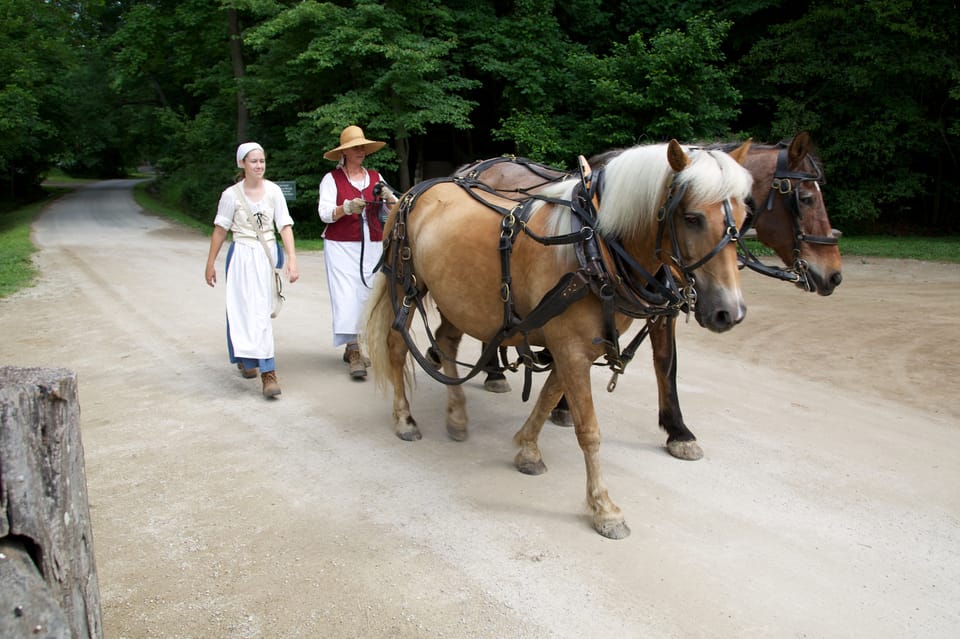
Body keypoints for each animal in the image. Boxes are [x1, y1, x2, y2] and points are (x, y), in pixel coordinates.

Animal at [364, 141, 752, 540]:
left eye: (744, 215)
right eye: (692, 218)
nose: (729, 311)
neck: (591, 248)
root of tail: (415, 190)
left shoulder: (575, 346)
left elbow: (551, 395)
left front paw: (528, 450)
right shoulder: (571, 347)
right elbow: (589, 429)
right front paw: (604, 508)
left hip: (459, 299)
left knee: (446, 342)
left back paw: (456, 416)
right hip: (405, 285)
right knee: (397, 348)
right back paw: (405, 420)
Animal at [458, 131, 840, 460]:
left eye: (745, 209)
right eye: (807, 198)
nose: (833, 274)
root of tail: (475, 166)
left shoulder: (663, 307)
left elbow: (666, 363)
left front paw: (678, 431)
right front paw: (566, 407)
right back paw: (491, 373)